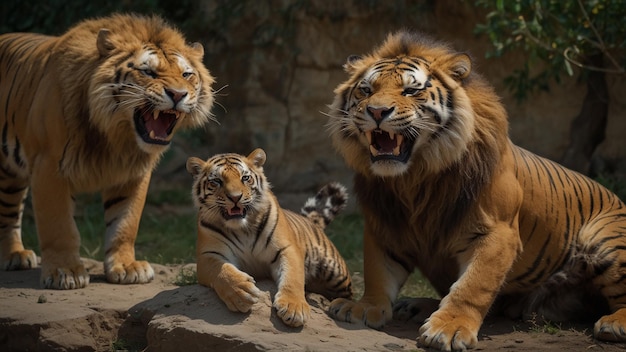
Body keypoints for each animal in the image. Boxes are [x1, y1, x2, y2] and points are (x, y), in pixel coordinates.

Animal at [0, 13, 214, 288]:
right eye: (148, 72)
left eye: (187, 74)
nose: (178, 94)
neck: (117, 137)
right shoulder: (48, 166)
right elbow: (58, 225)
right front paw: (65, 272)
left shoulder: (132, 173)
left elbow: (124, 223)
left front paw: (126, 267)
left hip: (12, 175)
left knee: (9, 212)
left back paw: (15, 255)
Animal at [185, 148, 352, 328]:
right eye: (217, 181)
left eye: (245, 178)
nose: (235, 197)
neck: (242, 228)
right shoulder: (208, 255)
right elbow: (223, 271)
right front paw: (241, 293)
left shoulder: (286, 249)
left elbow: (293, 277)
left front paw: (294, 309)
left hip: (335, 271)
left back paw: (344, 307)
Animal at [324, 29, 626, 350]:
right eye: (366, 91)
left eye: (411, 91)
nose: (377, 111)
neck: (413, 179)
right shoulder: (385, 226)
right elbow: (377, 273)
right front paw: (363, 307)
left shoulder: (497, 232)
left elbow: (473, 284)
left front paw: (449, 329)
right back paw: (414, 305)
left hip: (604, 239)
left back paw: (615, 323)